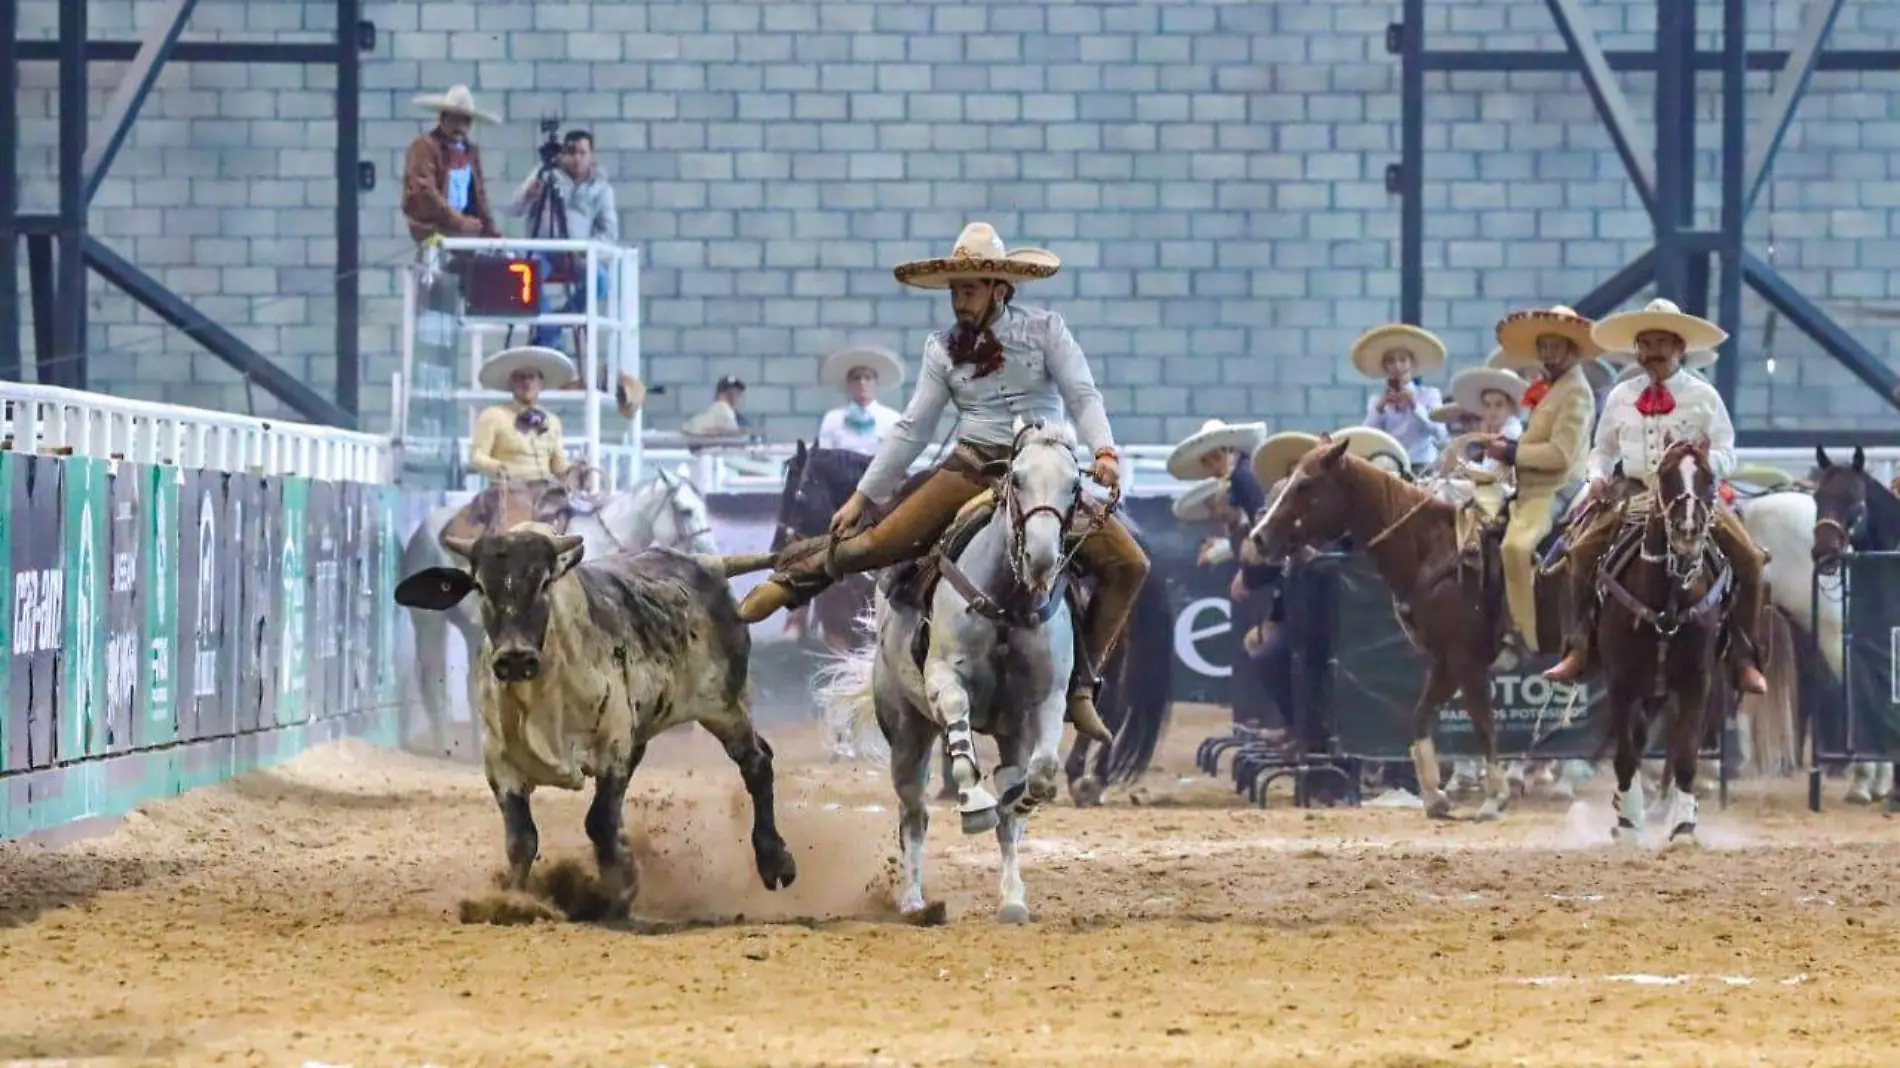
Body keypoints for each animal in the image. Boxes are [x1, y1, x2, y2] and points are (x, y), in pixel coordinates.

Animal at [393, 524, 794, 915]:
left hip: (726, 705)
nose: (516, 657)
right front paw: (515, 901)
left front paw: (619, 891)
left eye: (544, 582)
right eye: (479, 586)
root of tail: (707, 564)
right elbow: (522, 839)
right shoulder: (500, 764)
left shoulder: (612, 746)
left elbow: (599, 822)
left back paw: (775, 861)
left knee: (757, 762)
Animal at [817, 419, 1102, 919]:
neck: (1008, 604)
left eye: (1074, 485)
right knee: (913, 814)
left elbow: (1041, 774)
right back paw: (914, 900)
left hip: (1010, 733)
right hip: (907, 731)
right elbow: (959, 731)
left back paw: (1012, 897)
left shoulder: (1047, 697)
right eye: (1017, 479)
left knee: (1007, 809)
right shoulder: (944, 679)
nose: (1041, 559)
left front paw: (1020, 802)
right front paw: (973, 802)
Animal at [1246, 433, 1573, 813]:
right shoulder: (1444, 660)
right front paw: (1434, 796)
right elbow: (1420, 716)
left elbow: (1482, 722)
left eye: (1305, 484)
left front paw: (1494, 798)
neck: (1436, 552)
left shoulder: (1466, 658)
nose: (1258, 537)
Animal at [1596, 437, 1732, 843]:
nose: (1688, 529)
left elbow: (1685, 752)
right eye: (1667, 475)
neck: (1667, 601)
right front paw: (1628, 824)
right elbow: (1626, 754)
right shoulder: (1620, 683)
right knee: (1638, 739)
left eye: (1708, 476)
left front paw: (1684, 827)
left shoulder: (1696, 682)